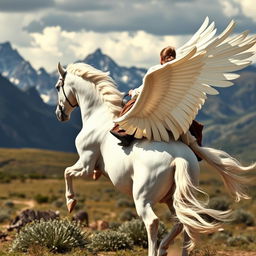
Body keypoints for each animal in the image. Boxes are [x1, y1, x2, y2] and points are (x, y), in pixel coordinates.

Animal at [55, 17, 255, 255]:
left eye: (57, 87)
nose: (60, 114)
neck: (98, 115)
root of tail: (179, 158)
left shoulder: (85, 163)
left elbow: (67, 172)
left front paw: (70, 202)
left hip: (143, 196)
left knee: (154, 222)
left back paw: (156, 249)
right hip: (176, 196)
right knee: (182, 222)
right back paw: (167, 248)